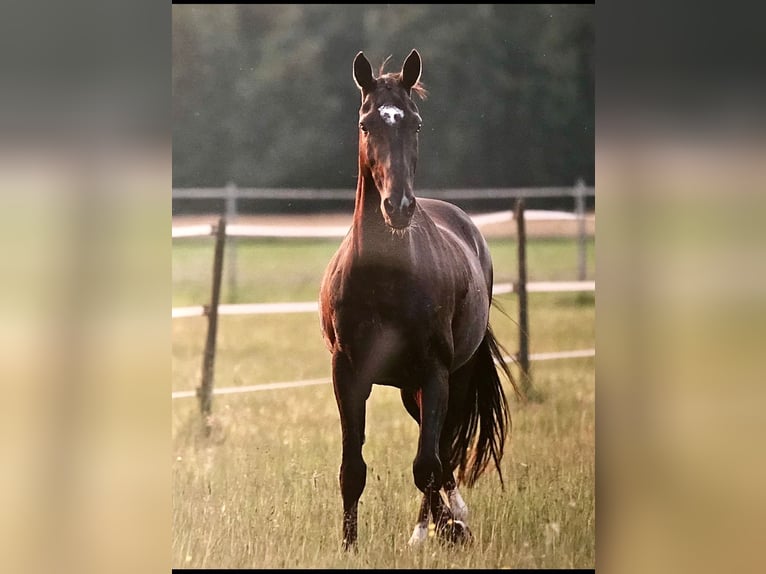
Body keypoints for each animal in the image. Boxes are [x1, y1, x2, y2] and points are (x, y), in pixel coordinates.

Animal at [318, 48, 520, 548]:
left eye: (416, 123)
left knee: (441, 450)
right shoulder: (347, 374)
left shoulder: (435, 373)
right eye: (367, 122)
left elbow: (426, 463)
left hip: (449, 380)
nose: (399, 206)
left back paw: (438, 525)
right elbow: (352, 469)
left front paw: (445, 529)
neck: (383, 279)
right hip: (412, 391)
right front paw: (349, 545)